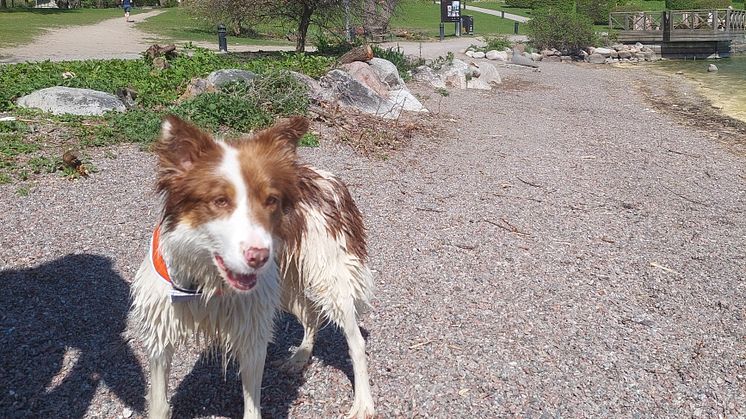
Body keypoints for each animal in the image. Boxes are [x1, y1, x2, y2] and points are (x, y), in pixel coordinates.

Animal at [129, 115, 374, 419]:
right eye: (220, 200)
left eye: (271, 200)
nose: (260, 256)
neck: (206, 282)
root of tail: (329, 177)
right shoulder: (160, 332)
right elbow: (159, 403)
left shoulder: (252, 331)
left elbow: (252, 404)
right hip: (285, 283)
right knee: (310, 314)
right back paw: (301, 356)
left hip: (328, 278)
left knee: (356, 341)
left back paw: (364, 403)